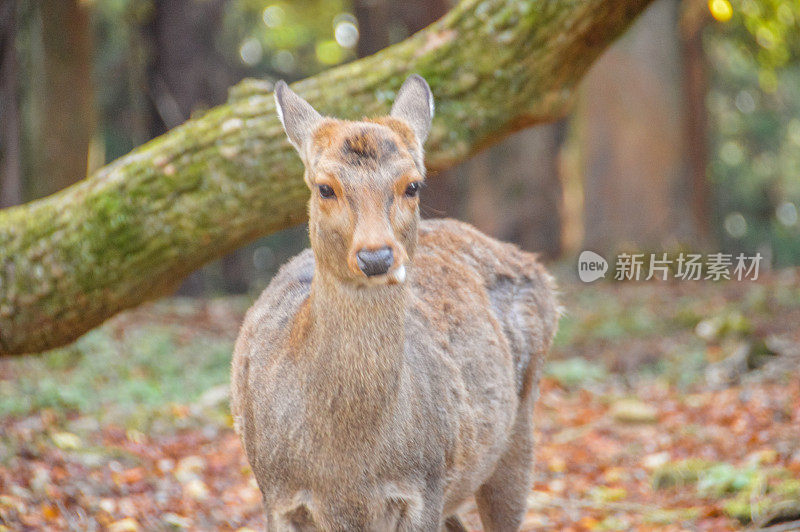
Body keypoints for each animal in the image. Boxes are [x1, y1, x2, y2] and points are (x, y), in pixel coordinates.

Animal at [228, 76, 560, 532]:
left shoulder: (424, 485)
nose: (377, 256)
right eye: (325, 187)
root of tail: (540, 271)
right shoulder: (274, 494)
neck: (346, 469)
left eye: (412, 185)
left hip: (519, 426)